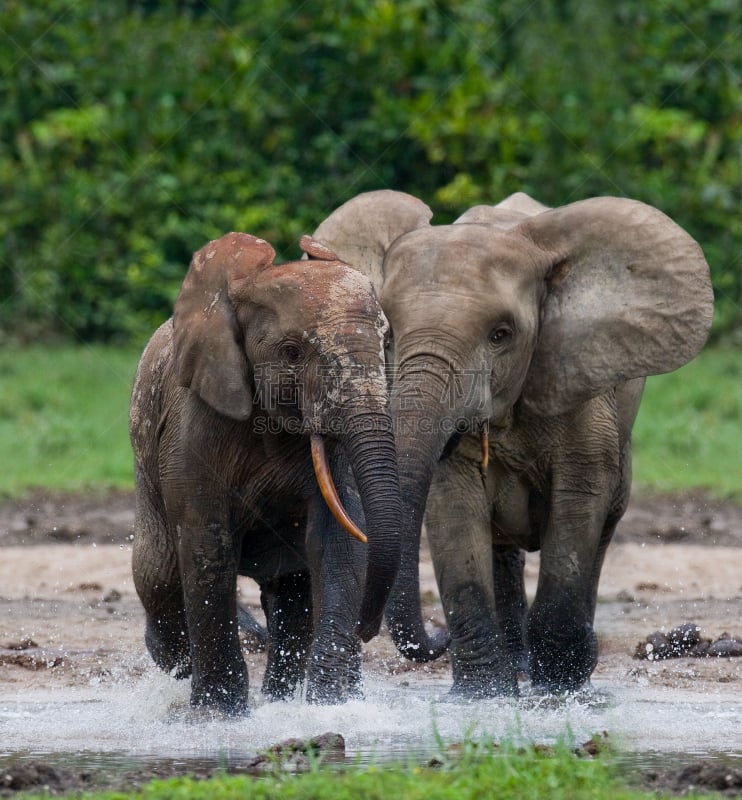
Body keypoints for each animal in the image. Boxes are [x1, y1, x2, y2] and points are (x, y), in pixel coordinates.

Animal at [131, 230, 404, 712]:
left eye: (386, 343)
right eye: (292, 352)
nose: (367, 630)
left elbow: (337, 540)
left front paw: (332, 706)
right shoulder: (191, 427)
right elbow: (207, 545)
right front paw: (218, 715)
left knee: (292, 594)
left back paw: (278, 699)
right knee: (159, 578)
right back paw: (173, 669)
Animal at [312, 191, 716, 696]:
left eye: (501, 335)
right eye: (386, 334)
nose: (438, 640)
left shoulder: (579, 381)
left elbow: (579, 504)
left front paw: (559, 692)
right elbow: (455, 512)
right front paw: (482, 697)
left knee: (602, 529)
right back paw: (518, 667)